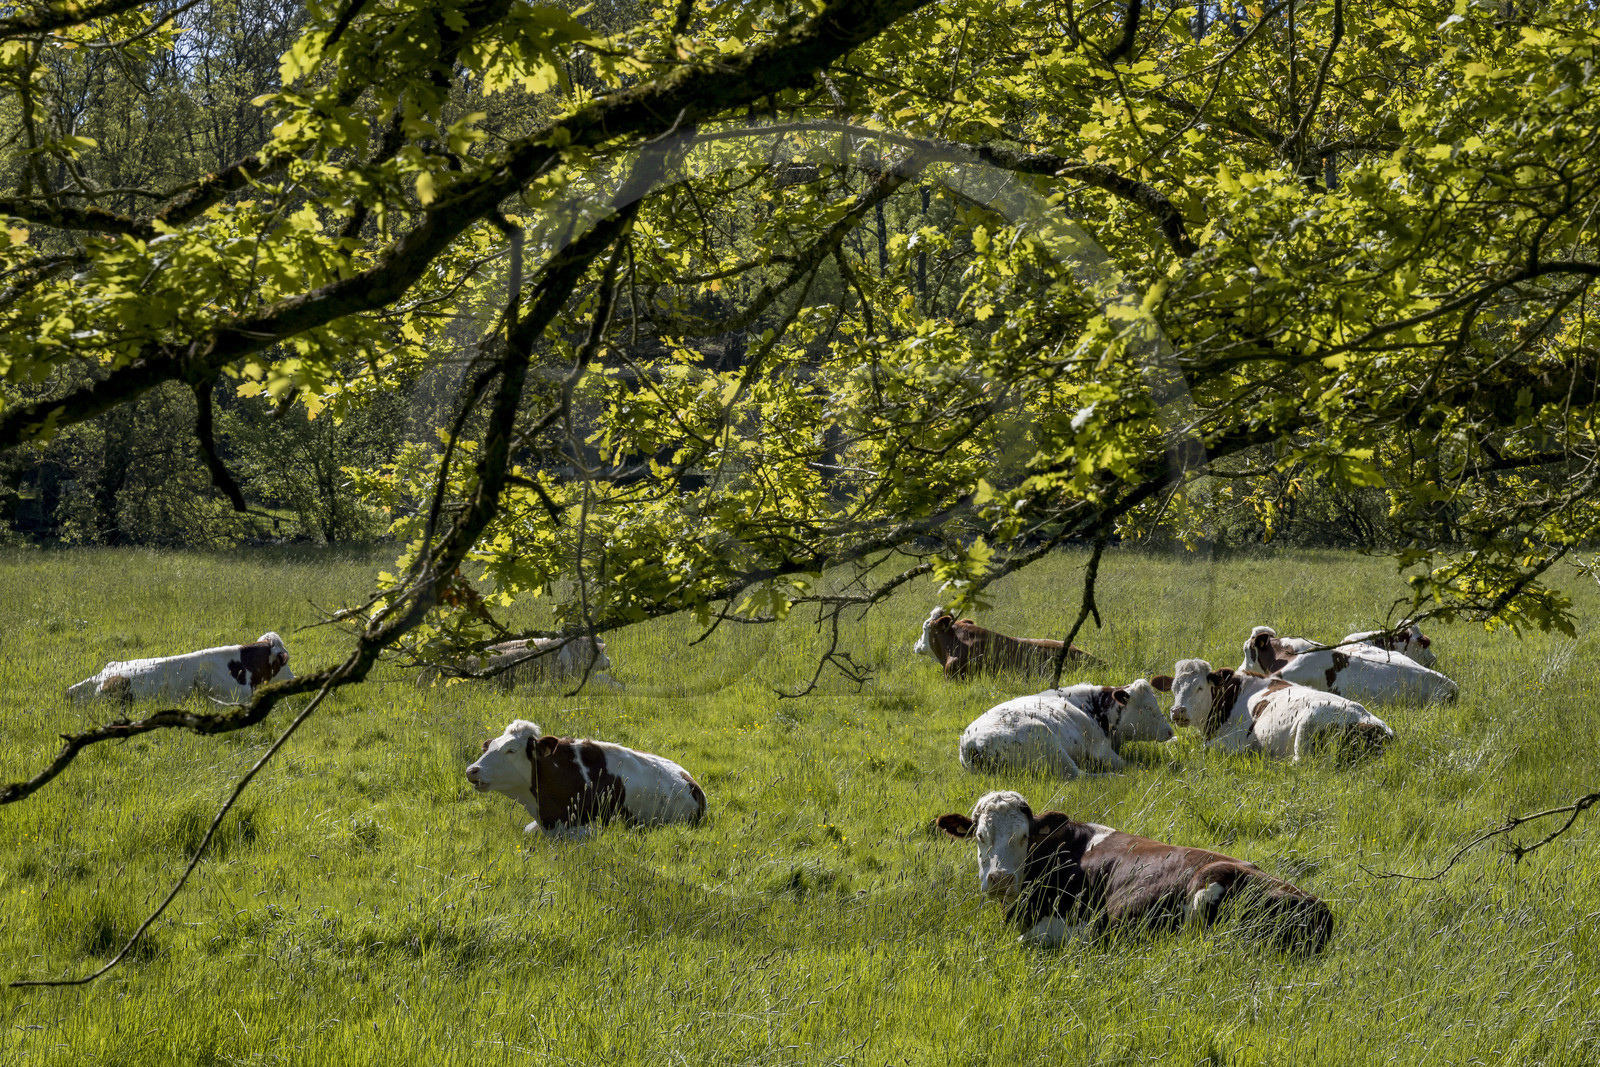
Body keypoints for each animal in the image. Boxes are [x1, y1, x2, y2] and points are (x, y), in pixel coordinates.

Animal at [959, 680, 1173, 778]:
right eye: (1148, 707)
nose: (1170, 731)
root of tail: (971, 742)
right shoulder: (1100, 748)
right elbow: (1128, 764)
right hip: (1052, 749)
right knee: (1080, 775)